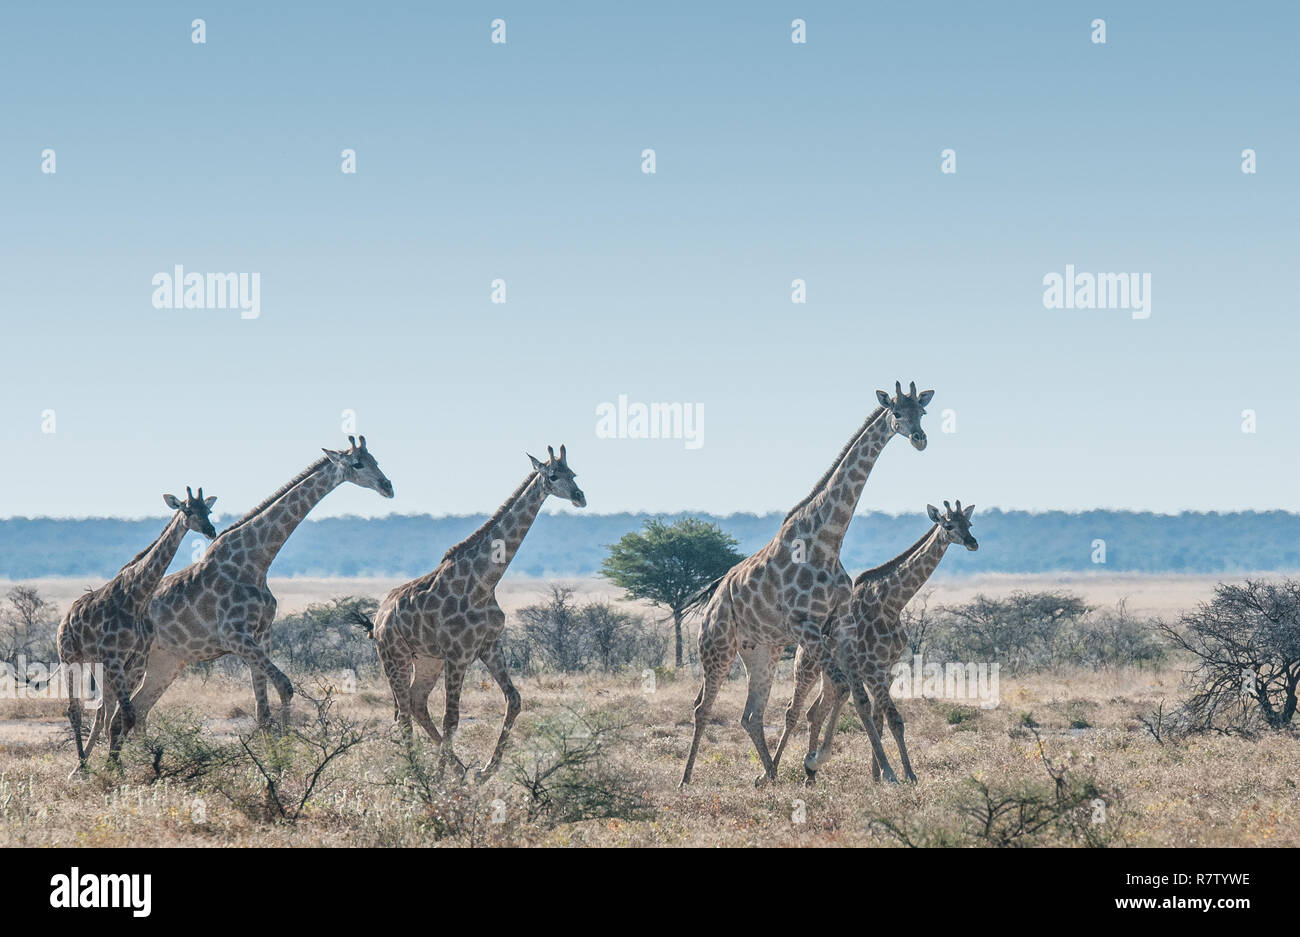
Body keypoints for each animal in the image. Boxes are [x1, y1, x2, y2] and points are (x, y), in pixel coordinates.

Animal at [57, 486, 215, 769]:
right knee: (74, 710)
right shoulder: (115, 659)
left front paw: (115, 766)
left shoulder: (135, 662)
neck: (138, 596)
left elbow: (123, 718)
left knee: (103, 712)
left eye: (207, 510)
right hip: (69, 656)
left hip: (98, 665)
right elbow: (124, 716)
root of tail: (67, 616)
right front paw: (112, 767)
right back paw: (83, 767)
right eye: (187, 510)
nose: (211, 530)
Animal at [111, 434, 390, 743]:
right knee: (114, 713)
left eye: (376, 459)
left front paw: (278, 751)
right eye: (357, 463)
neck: (255, 563)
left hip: (167, 660)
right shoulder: (235, 636)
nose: (388, 487)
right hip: (129, 661)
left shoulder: (261, 634)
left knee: (138, 710)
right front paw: (288, 747)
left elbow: (263, 711)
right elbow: (284, 686)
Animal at [371, 444, 585, 774]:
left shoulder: (488, 646)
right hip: (394, 656)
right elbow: (452, 718)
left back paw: (460, 771)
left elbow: (514, 700)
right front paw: (441, 781)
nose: (579, 496)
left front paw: (484, 772)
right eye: (552, 475)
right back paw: (418, 774)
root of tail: (378, 616)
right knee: (403, 713)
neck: (485, 582)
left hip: (427, 659)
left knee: (417, 704)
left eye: (573, 473)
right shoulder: (457, 654)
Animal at [681, 384, 935, 784]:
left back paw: (770, 777)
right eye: (896, 412)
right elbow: (844, 690)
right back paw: (686, 779)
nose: (919, 439)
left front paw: (829, 763)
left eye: (921, 413)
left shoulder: (836, 627)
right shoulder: (807, 626)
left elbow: (852, 696)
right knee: (702, 707)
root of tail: (713, 597)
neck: (828, 539)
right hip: (717, 646)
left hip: (761, 652)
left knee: (750, 715)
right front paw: (819, 760)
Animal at [774, 496, 977, 779]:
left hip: (832, 673)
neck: (892, 603)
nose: (972, 543)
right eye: (948, 525)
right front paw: (902, 774)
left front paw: (879, 775)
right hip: (807, 665)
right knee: (793, 710)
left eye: (969, 524)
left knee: (817, 710)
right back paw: (768, 774)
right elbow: (885, 716)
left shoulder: (887, 668)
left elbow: (886, 719)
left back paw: (810, 774)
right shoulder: (871, 667)